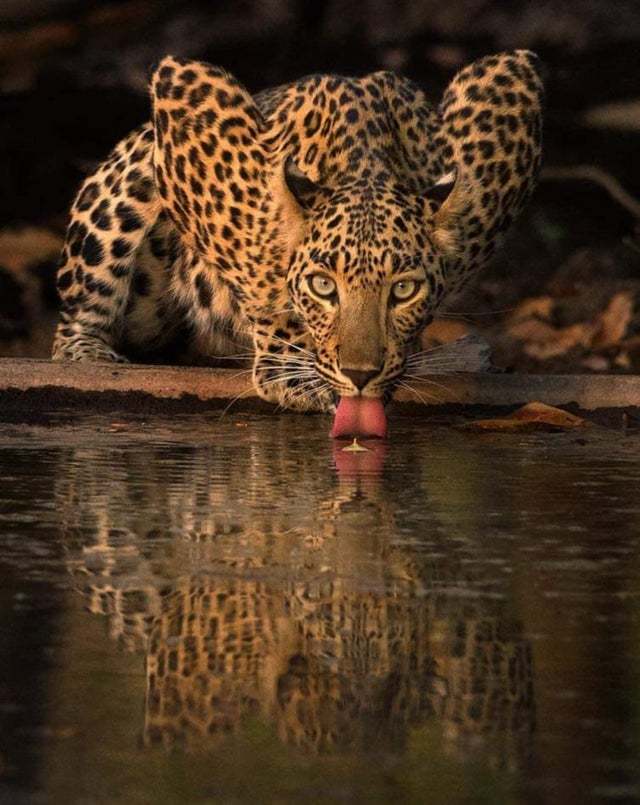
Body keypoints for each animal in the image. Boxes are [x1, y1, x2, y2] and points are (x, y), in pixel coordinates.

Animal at [52, 53, 544, 412]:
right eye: (322, 286)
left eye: (403, 290)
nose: (360, 375)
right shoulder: (187, 91)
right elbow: (253, 266)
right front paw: (293, 369)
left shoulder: (510, 85)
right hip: (130, 184)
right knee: (77, 315)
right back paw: (89, 357)